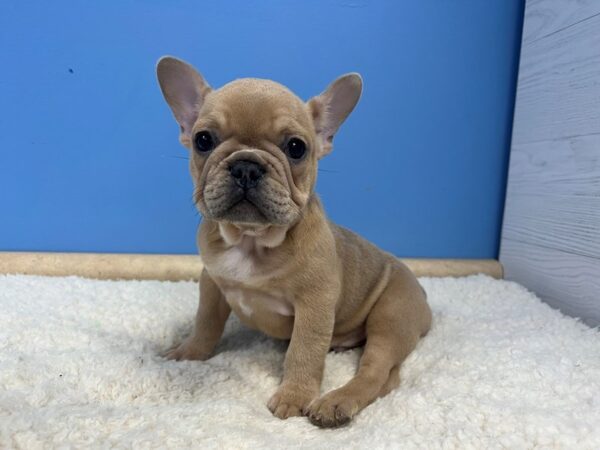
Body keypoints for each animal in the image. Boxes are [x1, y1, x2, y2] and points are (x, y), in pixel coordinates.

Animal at [157, 54, 432, 428]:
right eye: (202, 140)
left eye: (296, 148)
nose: (246, 166)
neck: (251, 239)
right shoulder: (212, 284)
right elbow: (206, 322)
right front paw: (189, 352)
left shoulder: (314, 303)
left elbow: (304, 351)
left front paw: (294, 396)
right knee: (389, 378)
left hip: (392, 315)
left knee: (376, 371)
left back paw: (335, 402)